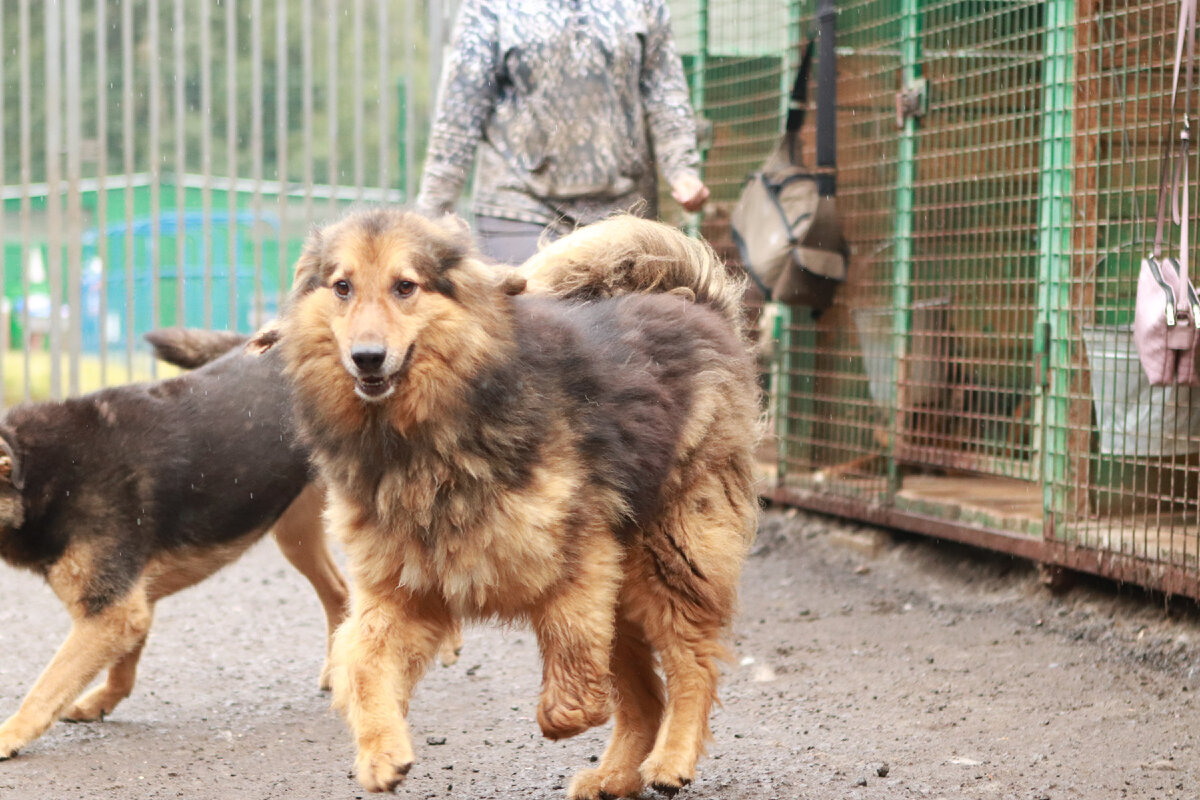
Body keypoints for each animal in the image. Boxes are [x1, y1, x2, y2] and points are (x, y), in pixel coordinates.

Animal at [0, 331, 348, 762]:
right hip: (293, 533)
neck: (38, 474)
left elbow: (46, 688)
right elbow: (120, 670)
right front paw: (102, 702)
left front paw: (10, 734)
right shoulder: (130, 606)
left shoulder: (113, 611)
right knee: (338, 592)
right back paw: (336, 671)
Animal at [264, 209, 758, 796]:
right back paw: (615, 775)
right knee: (644, 694)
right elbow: (360, 660)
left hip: (667, 556)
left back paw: (670, 760)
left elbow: (575, 672)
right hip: (627, 584)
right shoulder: (402, 589)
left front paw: (563, 715)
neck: (422, 441)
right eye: (342, 287)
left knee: (690, 663)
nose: (366, 358)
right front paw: (382, 753)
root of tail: (696, 301)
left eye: (405, 286)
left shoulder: (578, 562)